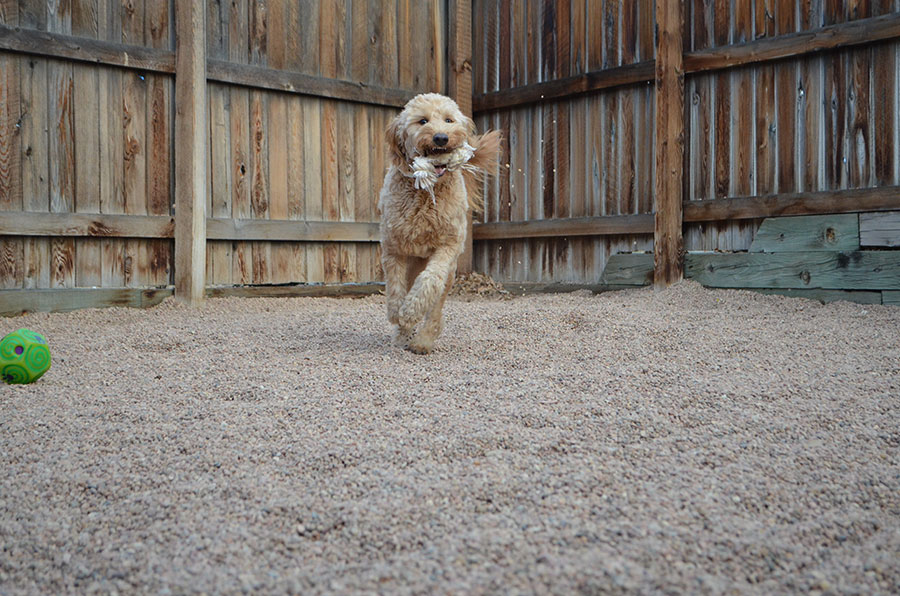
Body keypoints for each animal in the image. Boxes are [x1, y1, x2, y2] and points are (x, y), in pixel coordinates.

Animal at [376, 93, 502, 354]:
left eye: (448, 120)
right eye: (422, 121)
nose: (441, 138)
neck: (426, 192)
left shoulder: (448, 247)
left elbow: (430, 281)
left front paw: (411, 311)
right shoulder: (393, 248)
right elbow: (395, 286)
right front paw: (397, 315)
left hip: (449, 272)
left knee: (435, 305)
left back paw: (423, 340)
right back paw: (402, 334)